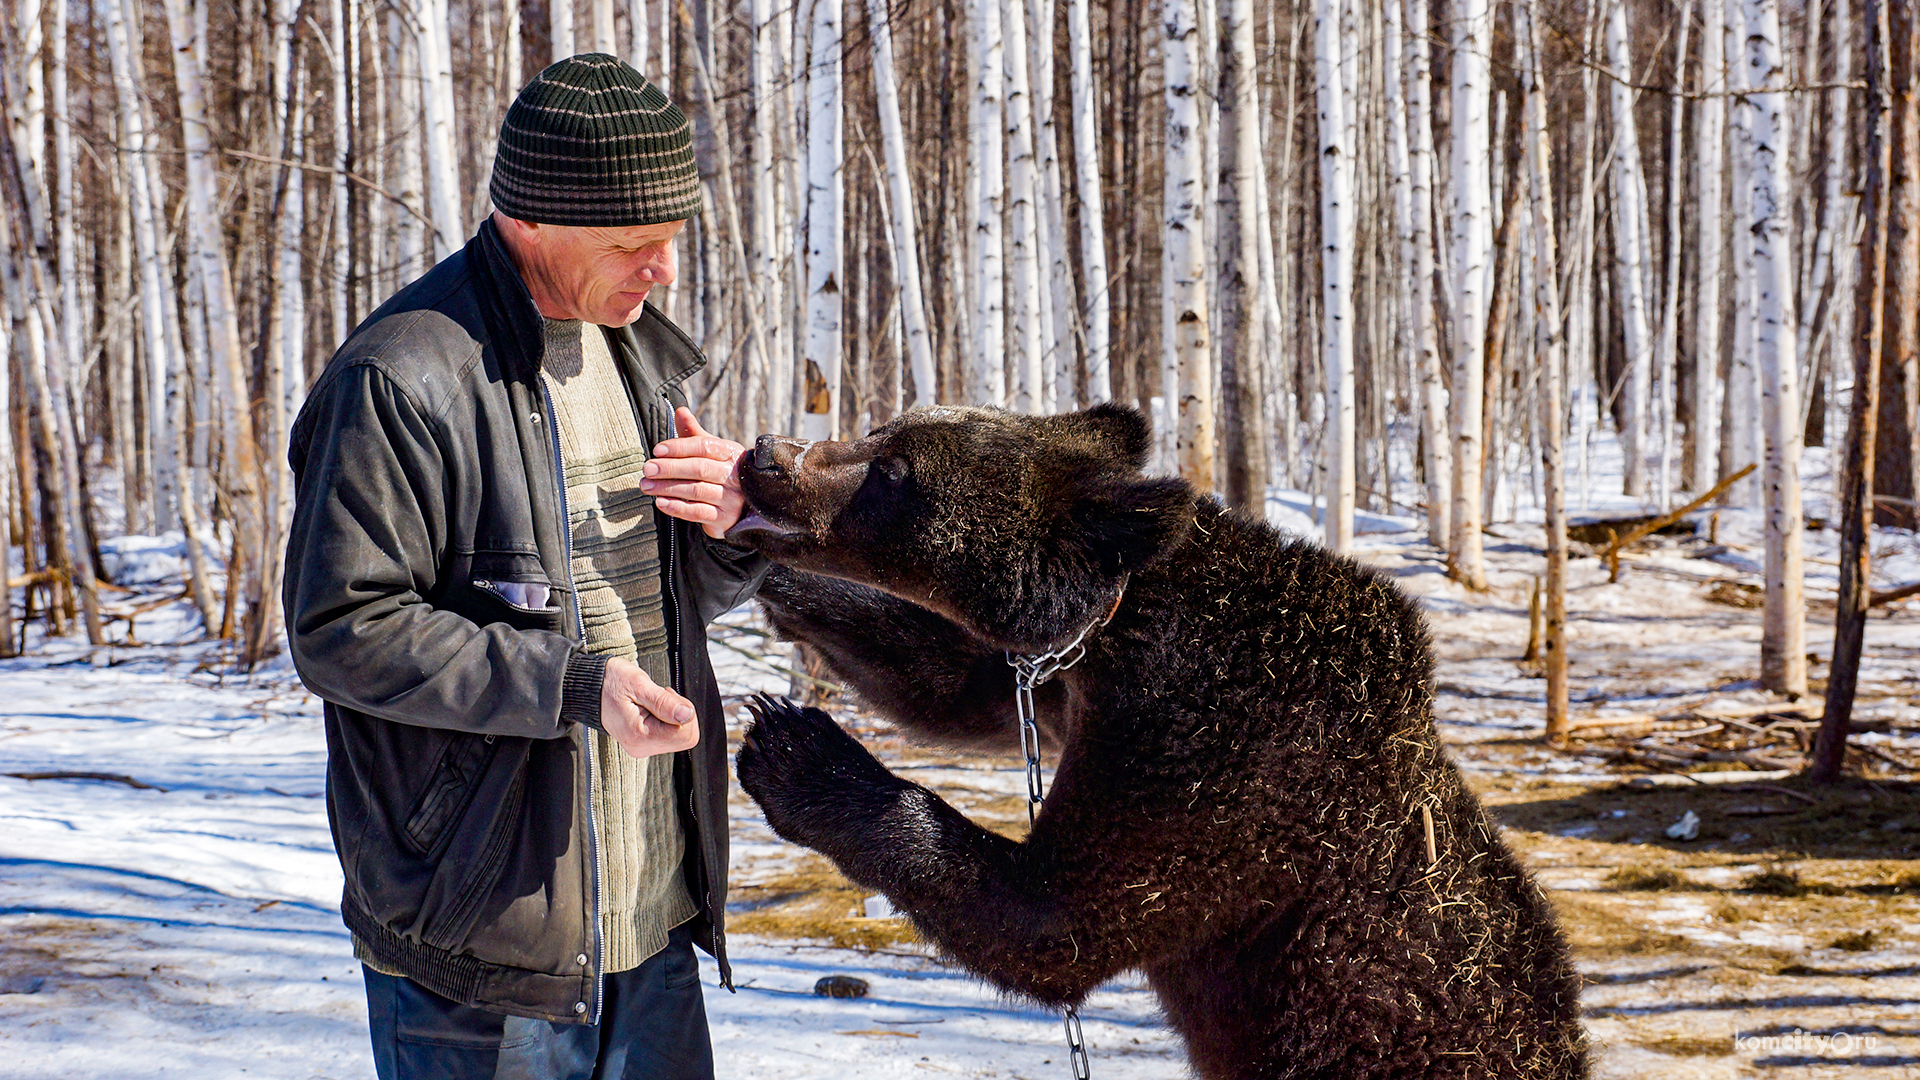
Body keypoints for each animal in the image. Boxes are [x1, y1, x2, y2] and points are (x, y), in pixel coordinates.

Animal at [725, 403, 1582, 1076]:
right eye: (881, 429)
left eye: (897, 470)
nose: (766, 453)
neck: (1120, 624)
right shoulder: (1068, 687)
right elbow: (946, 683)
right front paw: (762, 579)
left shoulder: (1220, 761)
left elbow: (1059, 920)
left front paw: (792, 745)